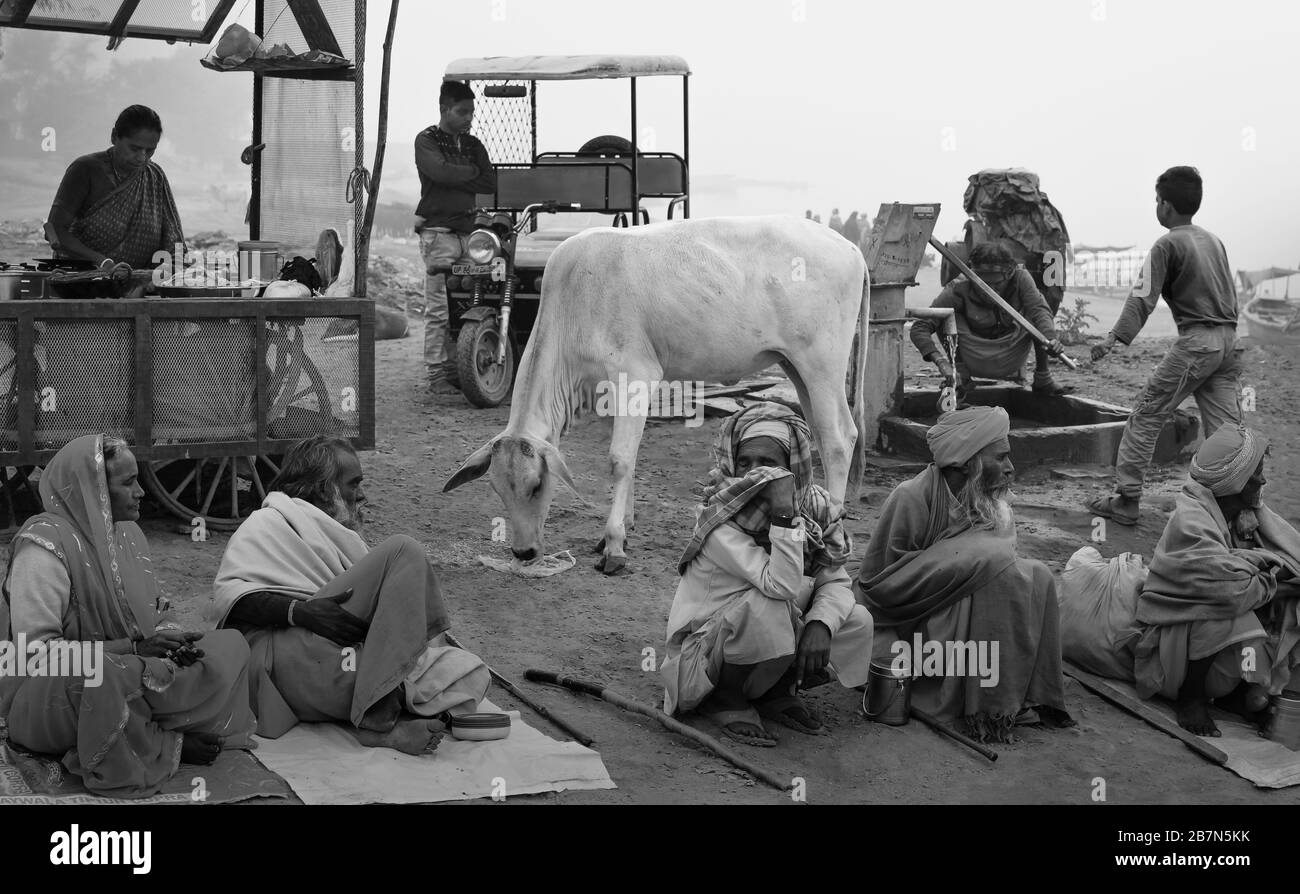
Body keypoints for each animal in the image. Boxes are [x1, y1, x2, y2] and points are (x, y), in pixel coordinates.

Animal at [441, 218, 868, 579]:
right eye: (497, 489)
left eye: (535, 486)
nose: (524, 553)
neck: (573, 302)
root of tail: (850, 248)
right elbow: (627, 460)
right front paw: (619, 530)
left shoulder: (636, 374)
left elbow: (618, 460)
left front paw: (614, 546)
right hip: (795, 367)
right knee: (820, 433)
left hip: (821, 365)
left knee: (838, 439)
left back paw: (831, 525)